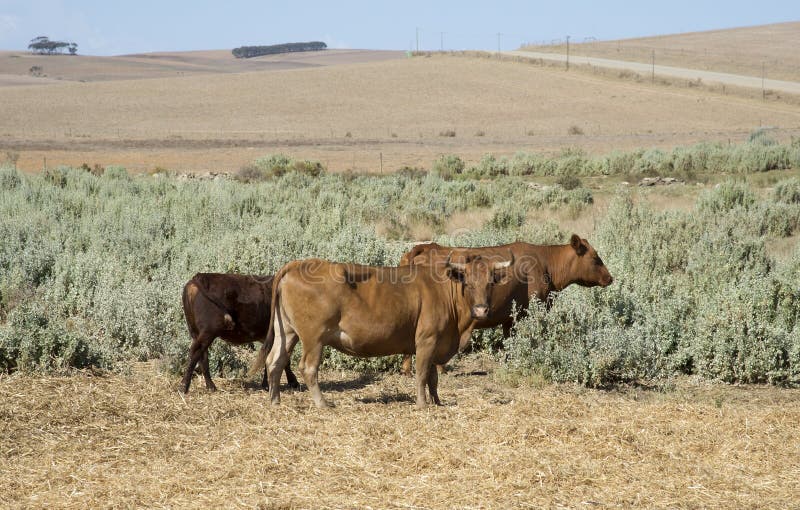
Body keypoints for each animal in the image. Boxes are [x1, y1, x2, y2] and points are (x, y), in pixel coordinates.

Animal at [253, 253, 516, 408]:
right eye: (468, 283)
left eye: (490, 283)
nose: (481, 310)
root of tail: (299, 264)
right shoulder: (427, 341)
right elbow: (422, 374)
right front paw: (423, 405)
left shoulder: (436, 343)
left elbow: (433, 377)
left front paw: (438, 402)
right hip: (313, 338)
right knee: (307, 368)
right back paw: (322, 404)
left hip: (287, 332)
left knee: (275, 361)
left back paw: (275, 401)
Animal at [398, 235, 612, 374]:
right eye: (595, 258)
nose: (610, 278)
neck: (544, 263)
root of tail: (424, 248)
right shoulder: (525, 314)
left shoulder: (509, 318)